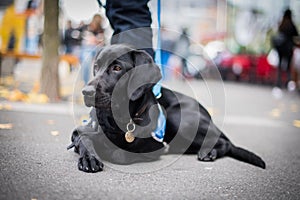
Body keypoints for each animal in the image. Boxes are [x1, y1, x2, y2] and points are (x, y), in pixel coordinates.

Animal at [68, 44, 264, 173]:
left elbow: (120, 154)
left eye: (117, 68)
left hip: (179, 119)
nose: (86, 92)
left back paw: (209, 151)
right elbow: (84, 138)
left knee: (224, 142)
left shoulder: (156, 146)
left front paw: (107, 149)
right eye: (96, 67)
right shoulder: (81, 129)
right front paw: (89, 157)